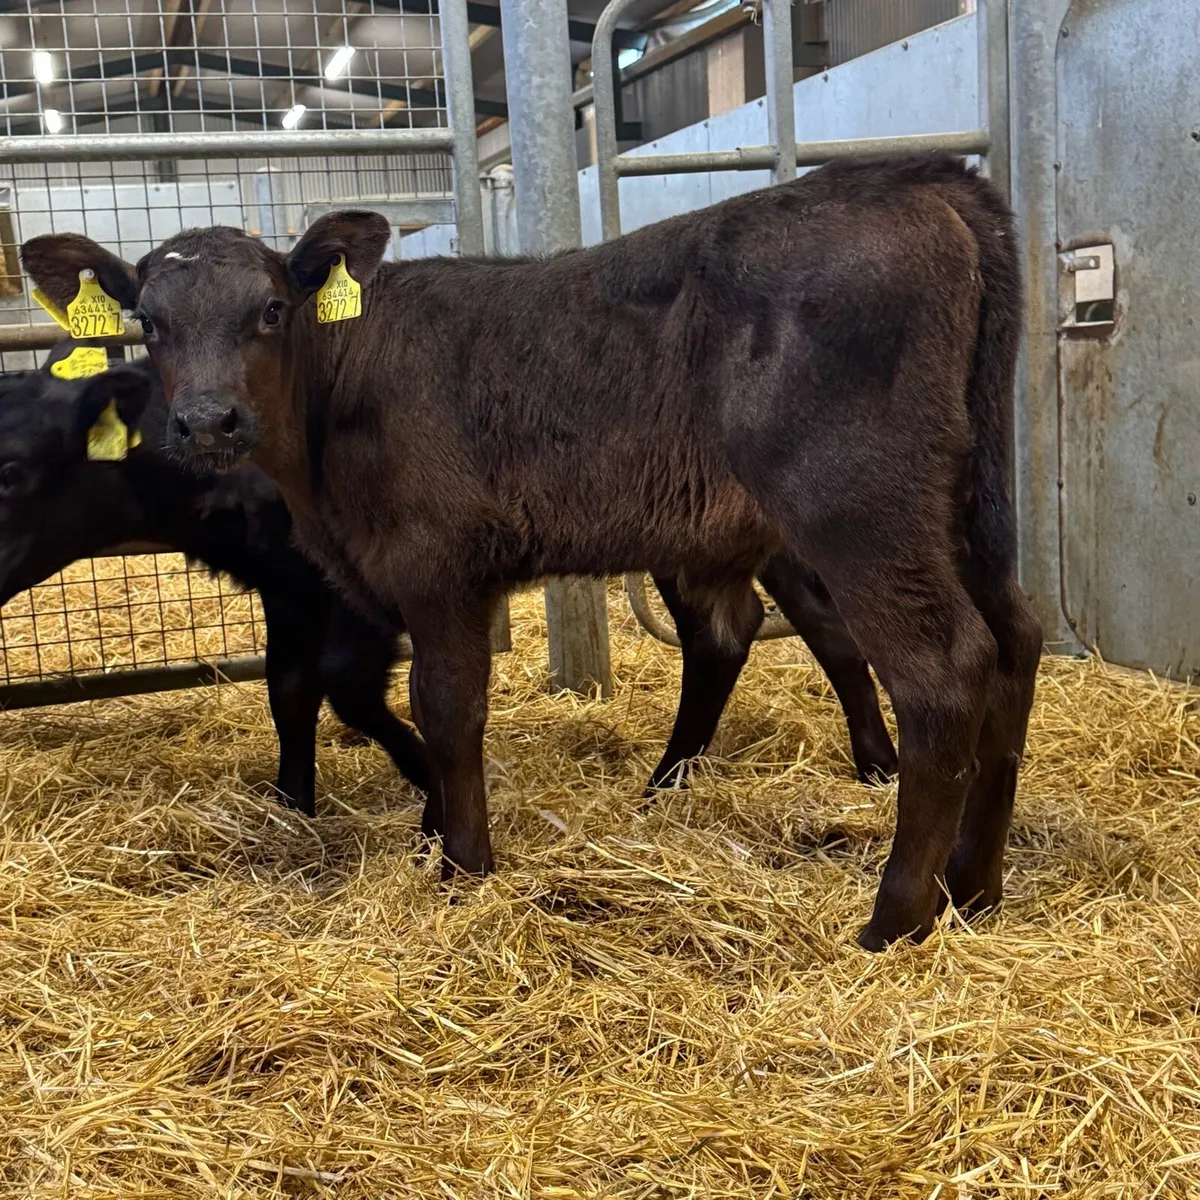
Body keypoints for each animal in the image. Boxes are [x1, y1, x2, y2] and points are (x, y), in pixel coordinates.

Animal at [22, 153, 1042, 949]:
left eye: (272, 309)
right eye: (148, 320)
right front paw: (432, 831)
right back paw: (974, 887)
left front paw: (464, 864)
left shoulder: (436, 565)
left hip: (855, 503)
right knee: (1010, 642)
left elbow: (446, 706)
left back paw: (896, 920)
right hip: (960, 507)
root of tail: (915, 176)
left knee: (941, 668)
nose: (207, 421)